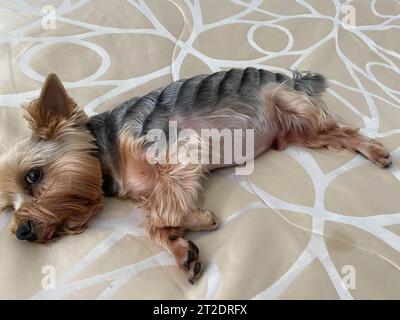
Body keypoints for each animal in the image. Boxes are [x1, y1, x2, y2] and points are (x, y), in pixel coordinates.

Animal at [0, 69, 390, 284]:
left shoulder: (178, 150)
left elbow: (164, 209)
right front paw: (180, 248)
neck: (105, 152)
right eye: (8, 208)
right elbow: (157, 217)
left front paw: (197, 219)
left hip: (288, 101)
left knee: (340, 128)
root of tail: (289, 77)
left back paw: (375, 151)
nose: (21, 232)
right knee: (329, 134)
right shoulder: (148, 187)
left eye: (33, 176)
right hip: (298, 132)